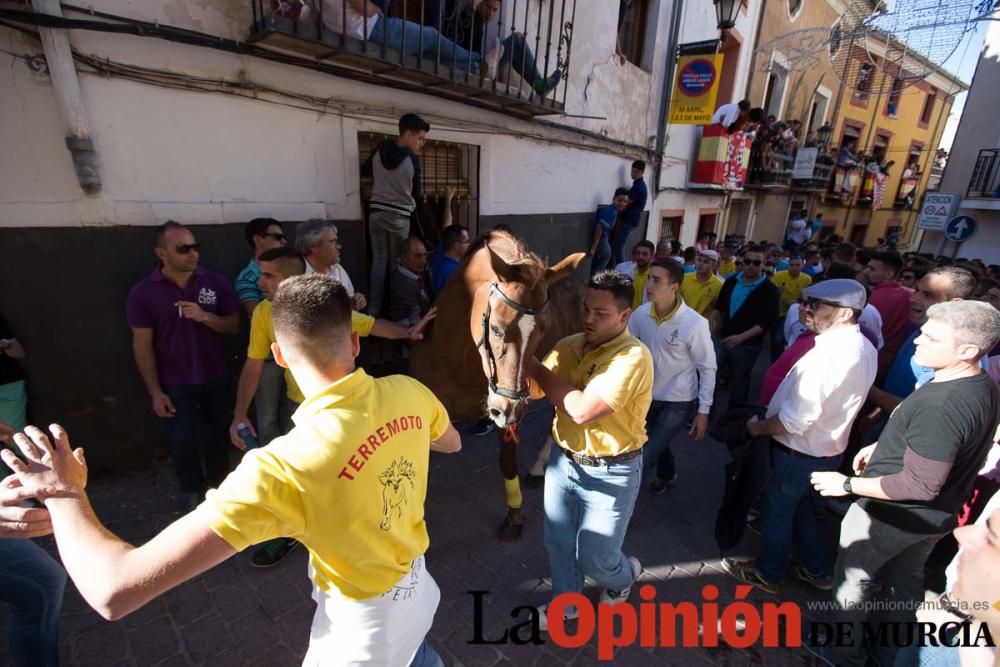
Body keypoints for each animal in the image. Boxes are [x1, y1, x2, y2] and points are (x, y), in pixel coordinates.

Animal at [408, 232, 584, 540]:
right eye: (496, 328)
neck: (455, 362)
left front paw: (514, 516)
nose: (509, 407)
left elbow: (507, 462)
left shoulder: (507, 415)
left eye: (543, 331)